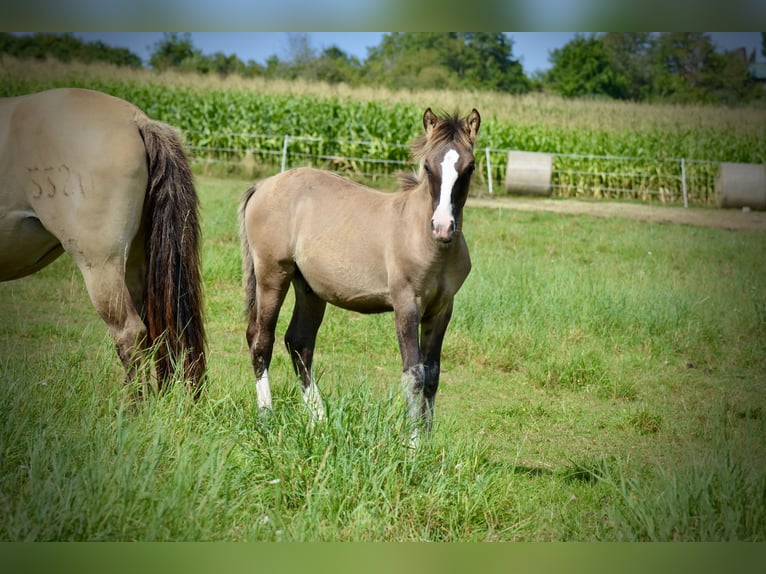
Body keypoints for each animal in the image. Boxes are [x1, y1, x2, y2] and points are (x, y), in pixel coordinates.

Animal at [240, 107, 480, 440]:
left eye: (469, 168)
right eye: (428, 166)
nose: (443, 227)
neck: (426, 241)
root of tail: (262, 186)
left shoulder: (442, 308)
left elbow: (432, 374)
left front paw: (428, 443)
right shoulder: (406, 303)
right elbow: (414, 373)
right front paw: (413, 444)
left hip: (309, 287)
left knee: (299, 342)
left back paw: (320, 419)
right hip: (272, 273)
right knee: (261, 338)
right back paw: (267, 416)